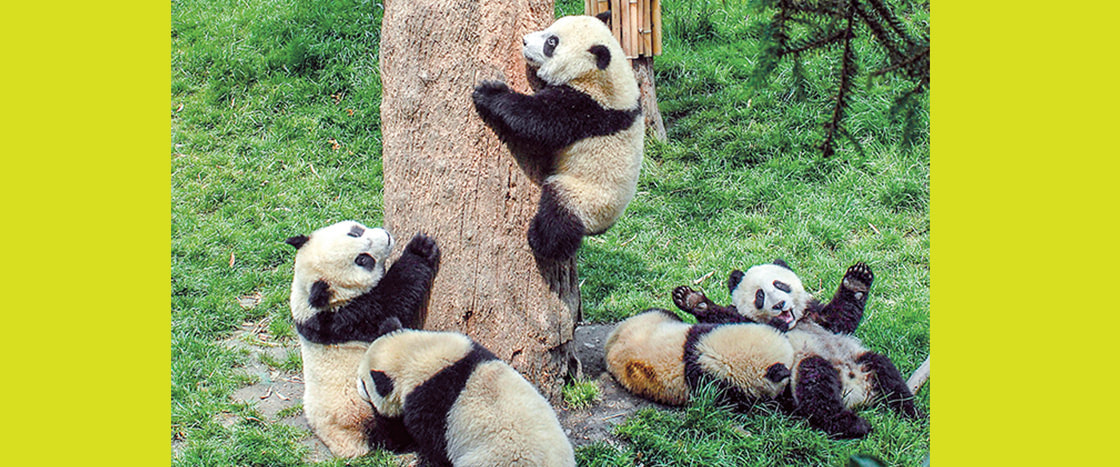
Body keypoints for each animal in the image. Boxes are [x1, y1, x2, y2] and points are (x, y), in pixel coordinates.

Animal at [286, 220, 439, 456]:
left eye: (355, 232)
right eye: (363, 260)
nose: (386, 237)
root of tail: (344, 443)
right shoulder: (348, 318)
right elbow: (394, 298)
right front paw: (420, 249)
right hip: (366, 405)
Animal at [474, 11, 649, 258]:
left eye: (551, 42)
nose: (524, 41)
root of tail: (601, 227)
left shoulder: (588, 109)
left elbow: (536, 120)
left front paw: (489, 93)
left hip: (585, 197)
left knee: (560, 215)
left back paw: (541, 240)